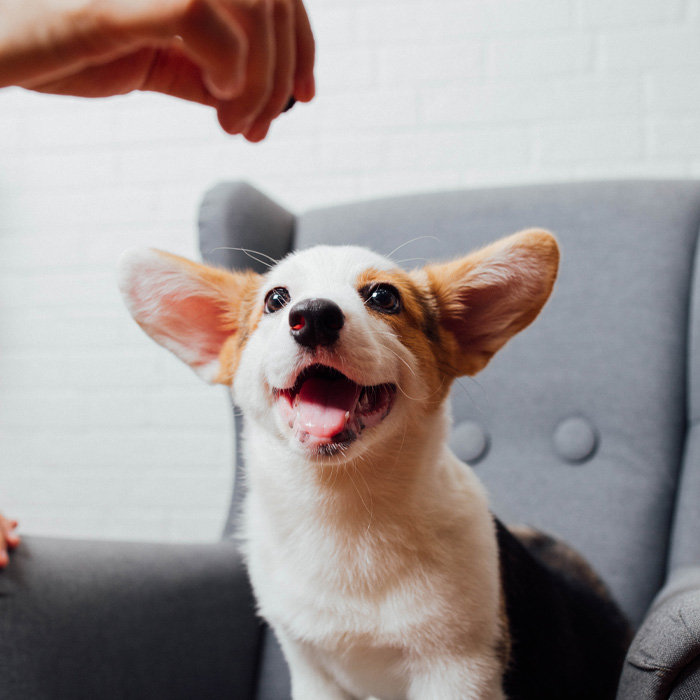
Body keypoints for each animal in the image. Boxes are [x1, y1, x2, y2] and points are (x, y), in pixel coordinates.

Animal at [117, 231, 632, 700]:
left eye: (384, 297)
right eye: (276, 299)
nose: (313, 316)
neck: (343, 507)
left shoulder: (458, 672)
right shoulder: (312, 672)